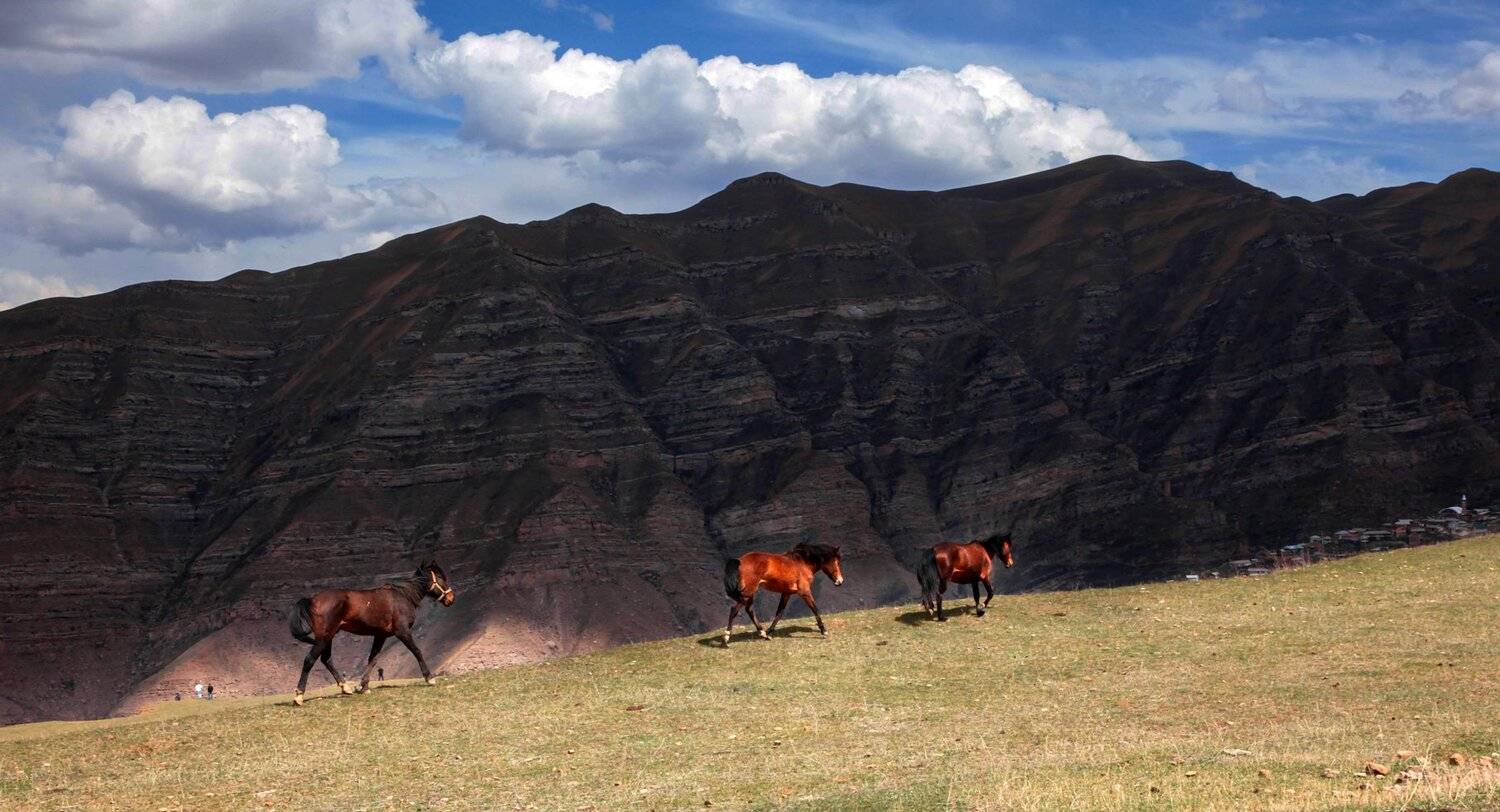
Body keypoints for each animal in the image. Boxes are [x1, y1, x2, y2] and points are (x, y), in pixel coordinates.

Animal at [287, 561, 455, 706]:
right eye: (440, 577)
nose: (451, 598)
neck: (402, 597)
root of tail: (312, 600)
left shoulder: (380, 635)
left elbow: (372, 659)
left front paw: (363, 686)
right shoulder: (402, 632)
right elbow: (417, 651)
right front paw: (429, 678)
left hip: (329, 637)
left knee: (326, 659)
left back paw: (346, 688)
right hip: (325, 637)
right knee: (310, 660)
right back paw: (299, 696)